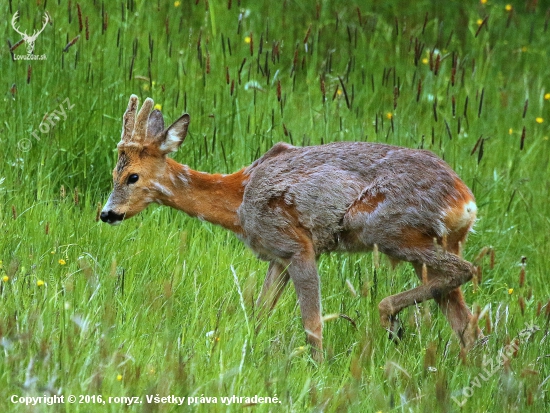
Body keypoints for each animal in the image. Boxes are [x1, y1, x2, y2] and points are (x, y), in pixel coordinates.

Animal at [102, 95, 484, 358]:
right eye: (113, 173)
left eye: (132, 176)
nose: (106, 214)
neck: (238, 202)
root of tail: (465, 200)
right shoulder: (277, 256)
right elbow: (258, 313)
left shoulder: (298, 245)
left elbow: (312, 325)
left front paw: (318, 368)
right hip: (432, 243)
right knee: (466, 320)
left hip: (387, 229)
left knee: (467, 270)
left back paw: (390, 318)